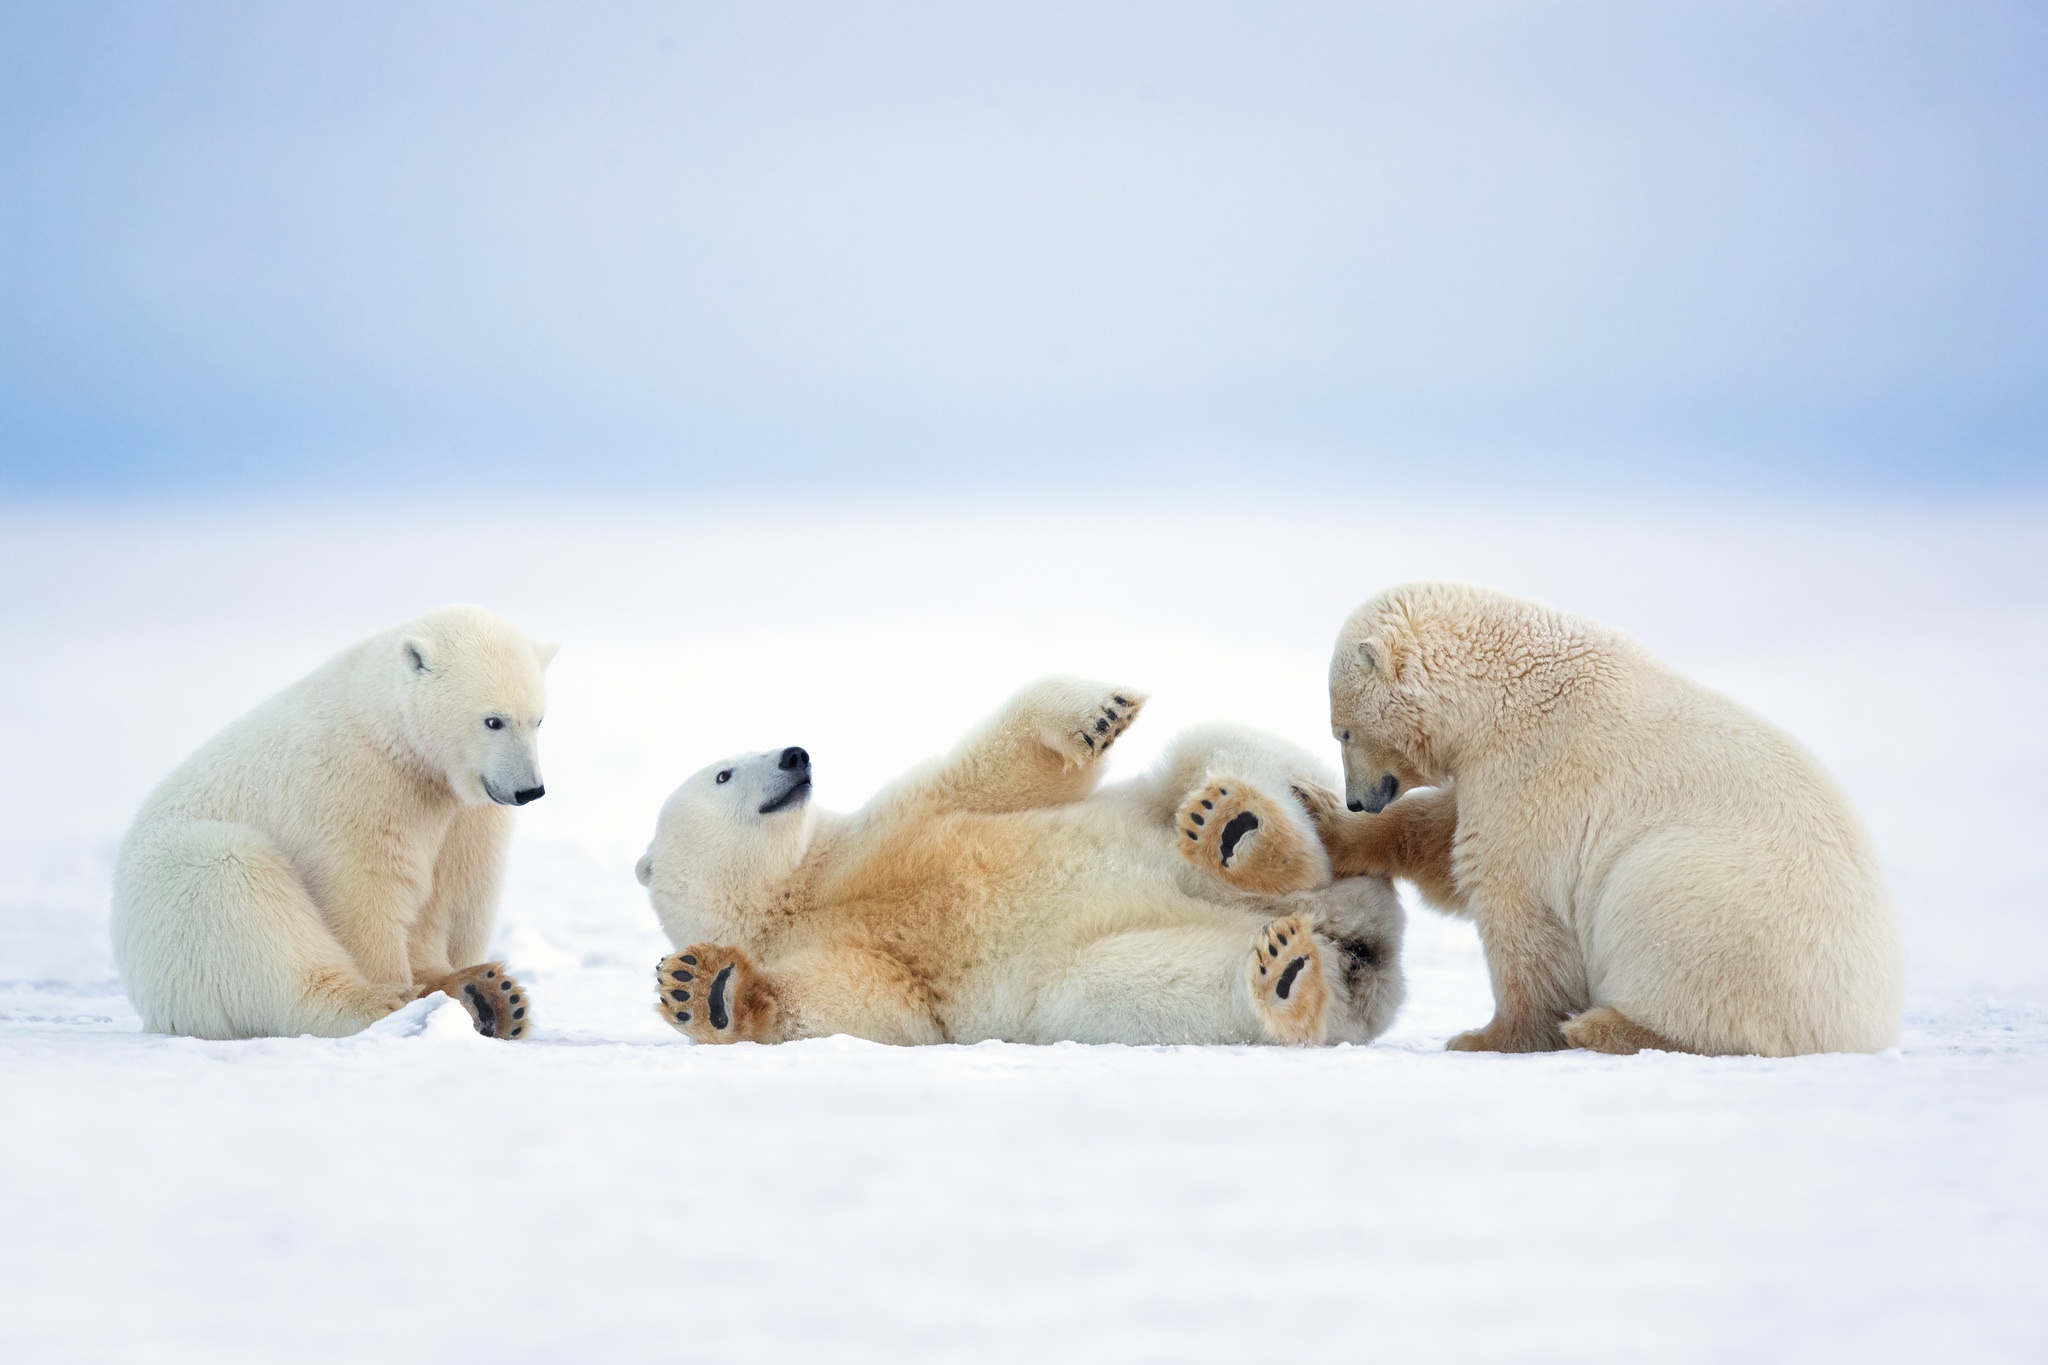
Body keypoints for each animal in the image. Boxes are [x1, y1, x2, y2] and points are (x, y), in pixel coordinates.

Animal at [113, 601, 557, 1039]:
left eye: (538, 719)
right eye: (493, 720)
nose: (529, 791)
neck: (391, 734)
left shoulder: (464, 814)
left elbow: (451, 893)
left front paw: (468, 985)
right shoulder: (356, 787)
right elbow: (366, 891)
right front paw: (402, 989)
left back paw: (490, 997)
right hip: (185, 888)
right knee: (246, 898)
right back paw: (381, 1004)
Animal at [634, 679, 1409, 1047]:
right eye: (724, 774)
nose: (797, 754)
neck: (803, 887)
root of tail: (1369, 934)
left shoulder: (890, 823)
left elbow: (995, 772)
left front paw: (1101, 713)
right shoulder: (846, 948)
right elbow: (869, 1007)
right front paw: (704, 988)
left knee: (1218, 751)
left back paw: (1243, 832)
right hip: (1104, 972)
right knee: (1137, 984)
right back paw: (1288, 975)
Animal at [1310, 581, 1900, 1064]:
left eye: (1344, 731)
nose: (1358, 800)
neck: (1501, 688)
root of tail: (1865, 1025)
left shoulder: (1538, 768)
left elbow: (1512, 898)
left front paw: (1486, 1038)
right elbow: (1443, 835)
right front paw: (1326, 823)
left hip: (1715, 907)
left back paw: (1602, 1028)